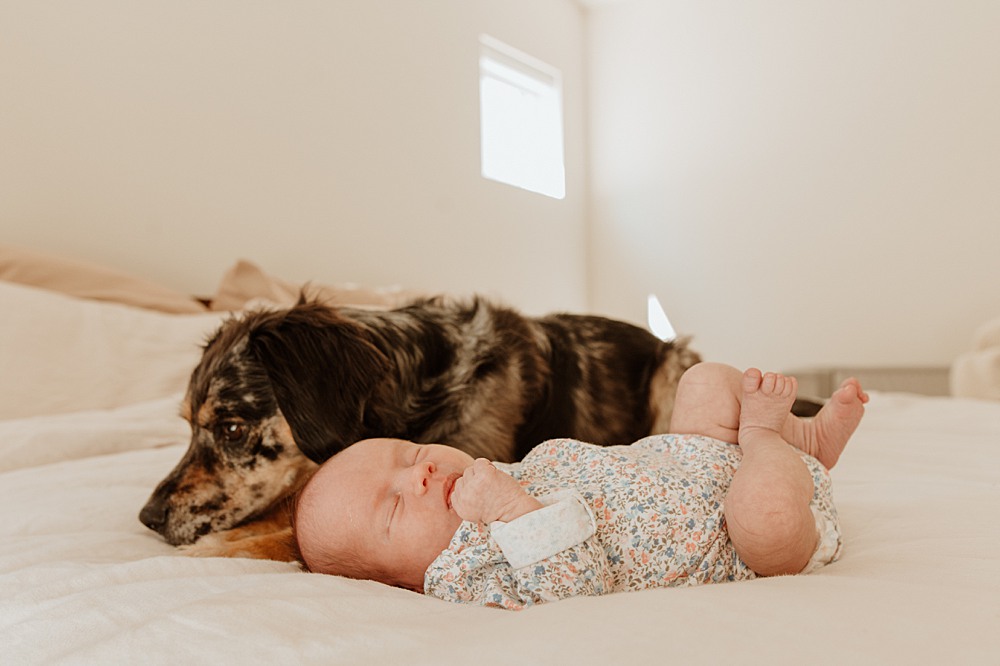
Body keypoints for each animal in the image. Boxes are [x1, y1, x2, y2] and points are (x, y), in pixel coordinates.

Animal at [141, 294, 708, 556]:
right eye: (187, 427)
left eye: (232, 429)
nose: (148, 517)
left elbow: (289, 535)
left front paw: (222, 546)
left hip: (674, 367)